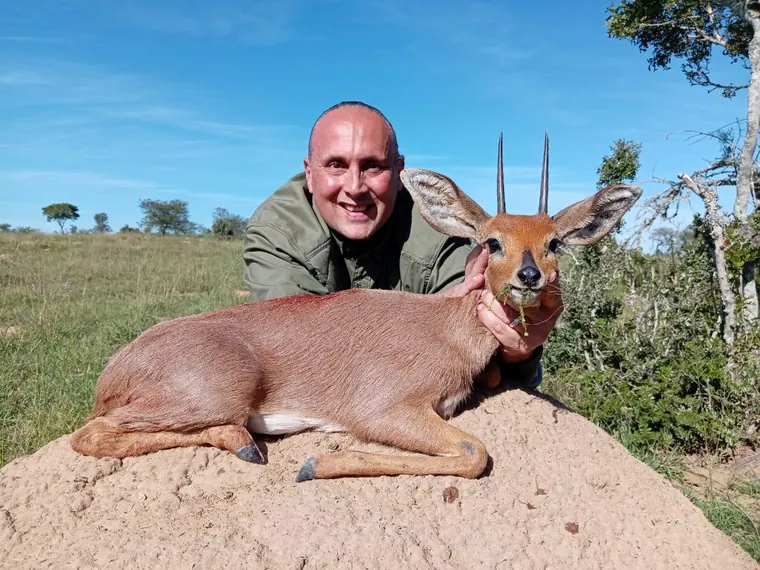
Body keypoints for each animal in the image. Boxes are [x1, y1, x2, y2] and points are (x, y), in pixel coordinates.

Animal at [70, 133, 642, 482]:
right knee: (89, 434)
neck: (448, 331)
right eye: (493, 241)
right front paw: (317, 463)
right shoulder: (385, 409)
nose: (529, 276)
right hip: (210, 396)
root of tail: (116, 370)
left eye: (554, 243)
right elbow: (474, 452)